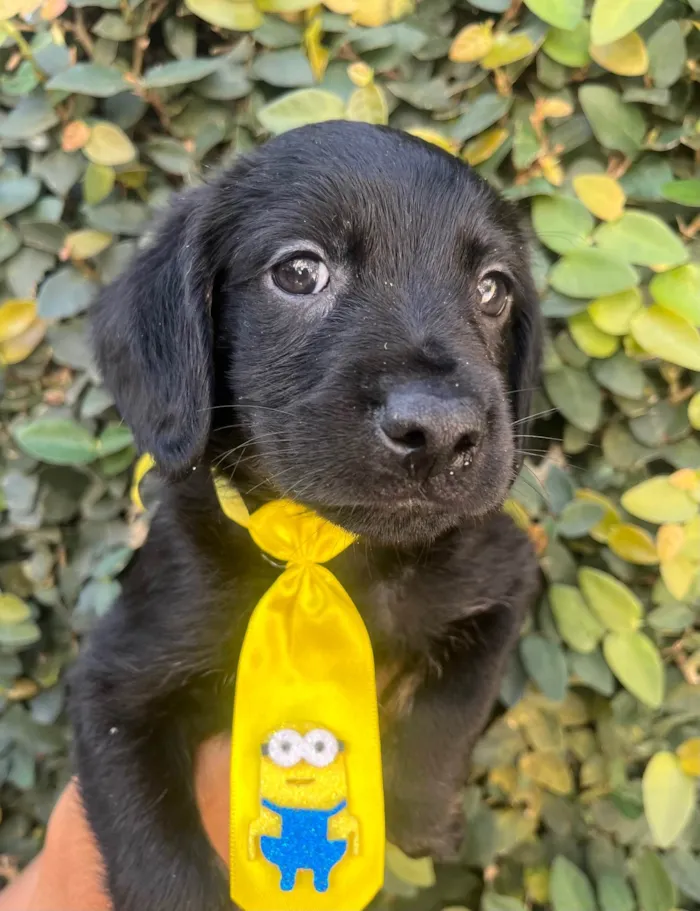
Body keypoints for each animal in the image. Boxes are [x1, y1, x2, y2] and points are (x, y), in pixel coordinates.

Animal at [71, 121, 540, 911]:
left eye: (493, 289)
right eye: (299, 272)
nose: (440, 431)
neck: (332, 551)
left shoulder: (503, 576)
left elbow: (453, 708)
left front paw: (419, 813)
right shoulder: (113, 685)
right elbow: (159, 856)